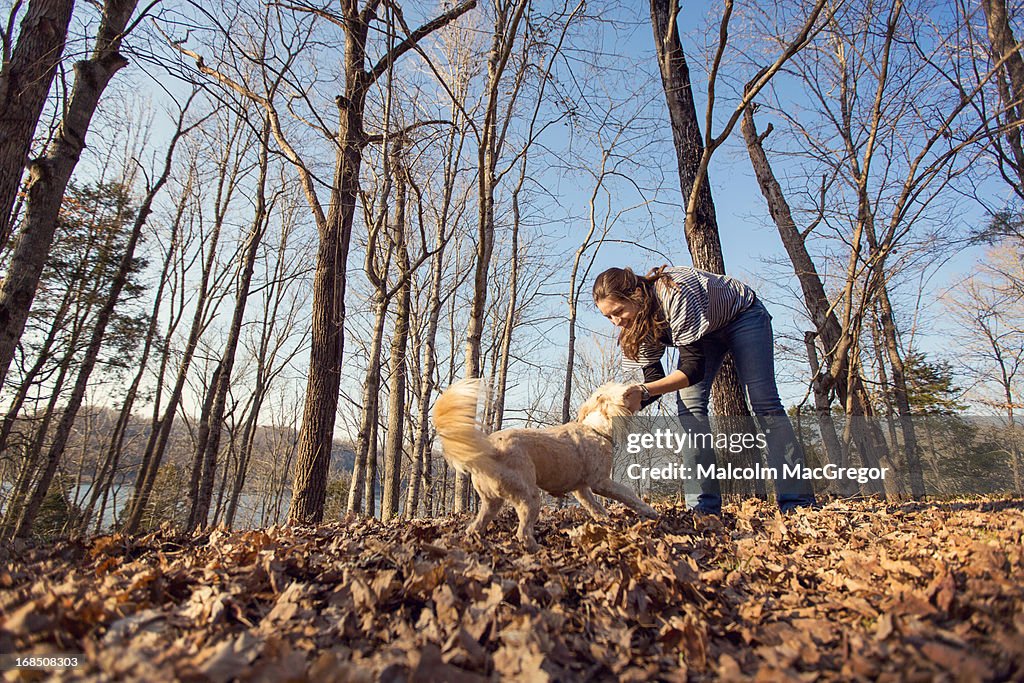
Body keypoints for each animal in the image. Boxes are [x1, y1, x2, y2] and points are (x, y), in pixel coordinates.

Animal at [430, 378, 655, 548]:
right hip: (529, 496)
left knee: (476, 526)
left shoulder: (581, 489)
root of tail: (489, 449)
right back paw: (535, 548)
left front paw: (604, 521)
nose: (644, 390)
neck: (596, 429)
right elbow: (628, 495)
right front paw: (649, 511)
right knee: (522, 533)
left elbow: (595, 506)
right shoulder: (600, 483)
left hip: (491, 501)